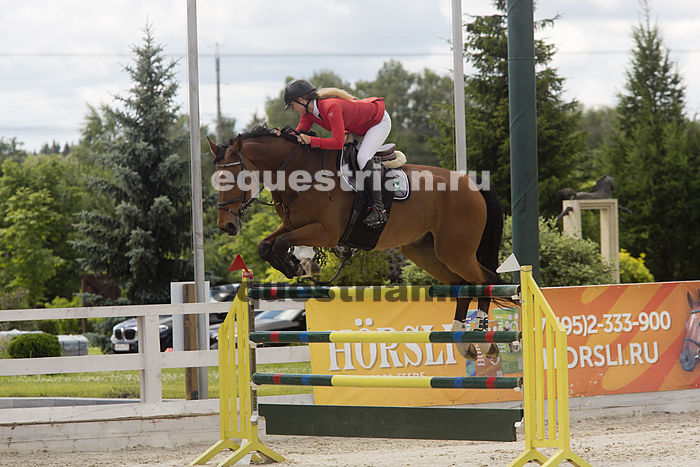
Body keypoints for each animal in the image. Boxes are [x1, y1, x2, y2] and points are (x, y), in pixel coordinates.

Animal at [209, 125, 504, 361]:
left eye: (236, 178)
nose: (227, 226)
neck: (301, 174)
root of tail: (471, 183)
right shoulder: (293, 225)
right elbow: (266, 245)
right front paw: (298, 265)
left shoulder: (325, 231)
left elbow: (280, 244)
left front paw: (304, 266)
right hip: (427, 252)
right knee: (463, 284)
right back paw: (464, 342)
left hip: (455, 251)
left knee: (484, 280)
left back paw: (484, 341)